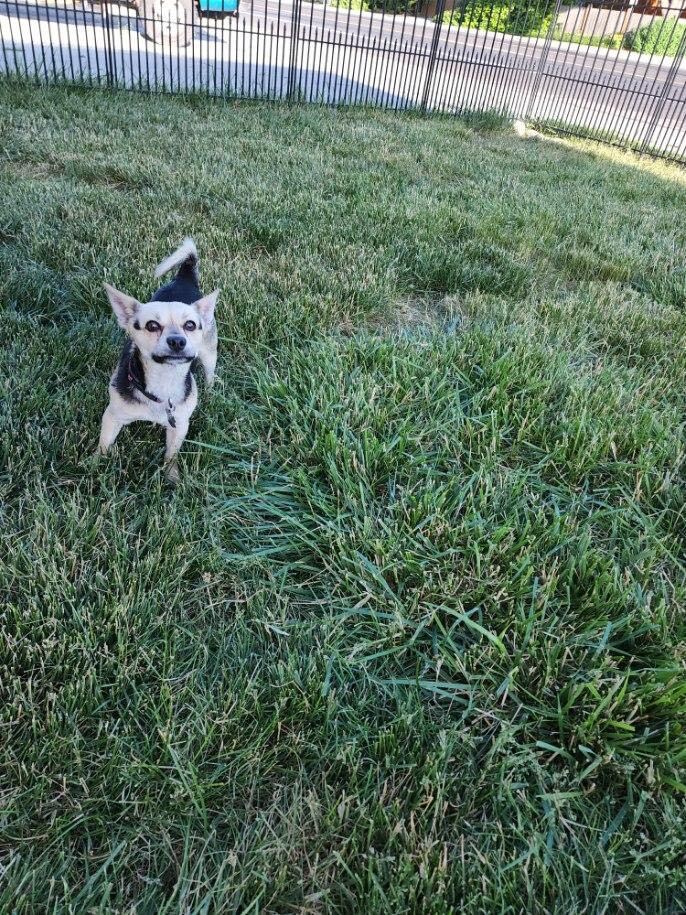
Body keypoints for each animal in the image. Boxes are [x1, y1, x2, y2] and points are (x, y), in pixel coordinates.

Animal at [97, 236, 219, 484]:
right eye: (152, 325)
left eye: (190, 325)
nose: (177, 341)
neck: (164, 381)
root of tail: (184, 277)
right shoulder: (112, 417)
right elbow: (104, 444)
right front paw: (93, 466)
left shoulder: (179, 425)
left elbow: (172, 454)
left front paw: (172, 477)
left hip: (210, 352)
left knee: (210, 372)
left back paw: (210, 391)